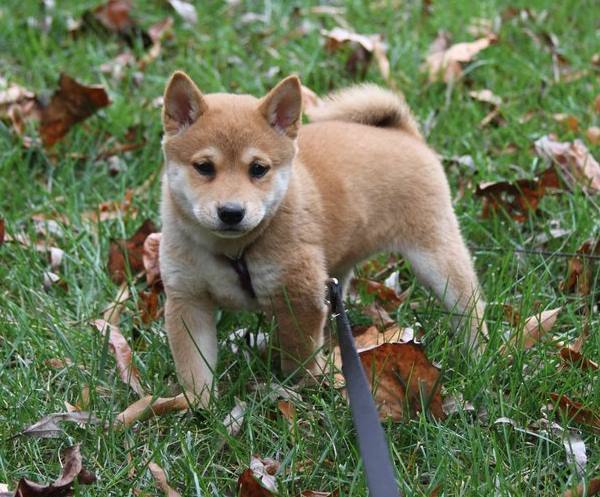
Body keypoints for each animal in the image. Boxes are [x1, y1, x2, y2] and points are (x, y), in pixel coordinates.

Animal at [157, 70, 486, 404]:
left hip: (436, 258)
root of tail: (405, 135)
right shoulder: (188, 301)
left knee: (470, 307)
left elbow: (298, 357)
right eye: (204, 167)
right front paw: (199, 406)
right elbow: (194, 367)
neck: (235, 250)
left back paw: (478, 354)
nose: (231, 212)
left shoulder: (300, 298)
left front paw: (301, 388)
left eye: (258, 169)